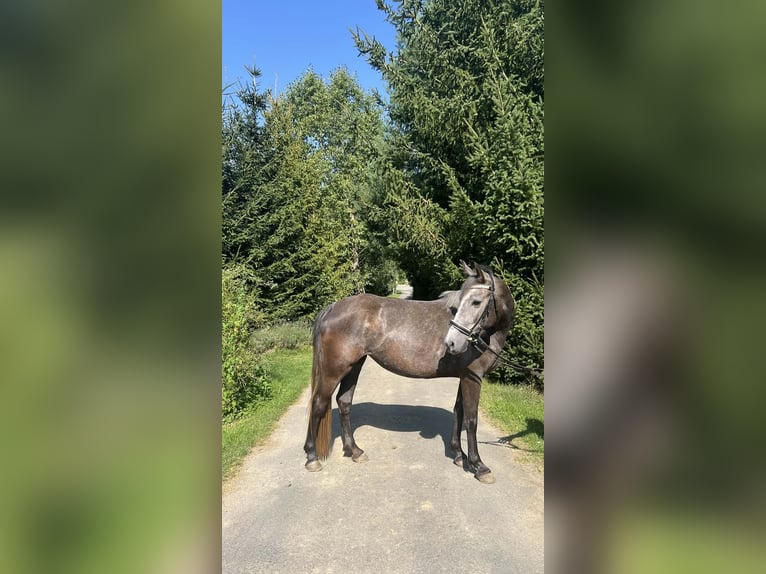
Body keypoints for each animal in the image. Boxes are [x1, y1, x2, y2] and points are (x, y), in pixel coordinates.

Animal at [303, 261, 515, 484]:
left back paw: (355, 451)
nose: (451, 343)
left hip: (354, 366)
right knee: (318, 403)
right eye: (461, 303)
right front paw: (479, 466)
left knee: (344, 402)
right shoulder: (472, 378)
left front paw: (459, 455)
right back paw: (312, 457)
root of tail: (332, 308)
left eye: (476, 302)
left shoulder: (464, 377)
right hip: (334, 370)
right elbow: (471, 420)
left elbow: (459, 413)